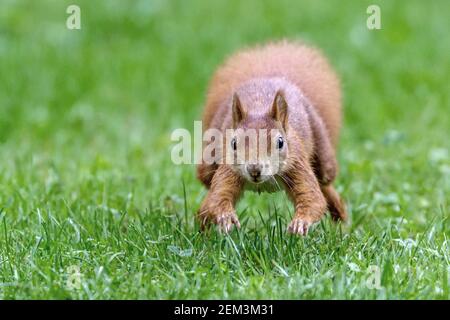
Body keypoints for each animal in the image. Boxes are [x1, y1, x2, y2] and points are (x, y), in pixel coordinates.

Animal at [195, 40, 346, 235]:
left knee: (325, 184)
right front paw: (225, 217)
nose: (254, 170)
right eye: (233, 143)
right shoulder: (229, 167)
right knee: (208, 192)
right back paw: (202, 227)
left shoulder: (297, 162)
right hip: (208, 162)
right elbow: (218, 196)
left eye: (280, 142)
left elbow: (313, 199)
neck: (259, 107)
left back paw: (340, 217)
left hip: (323, 153)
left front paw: (300, 223)